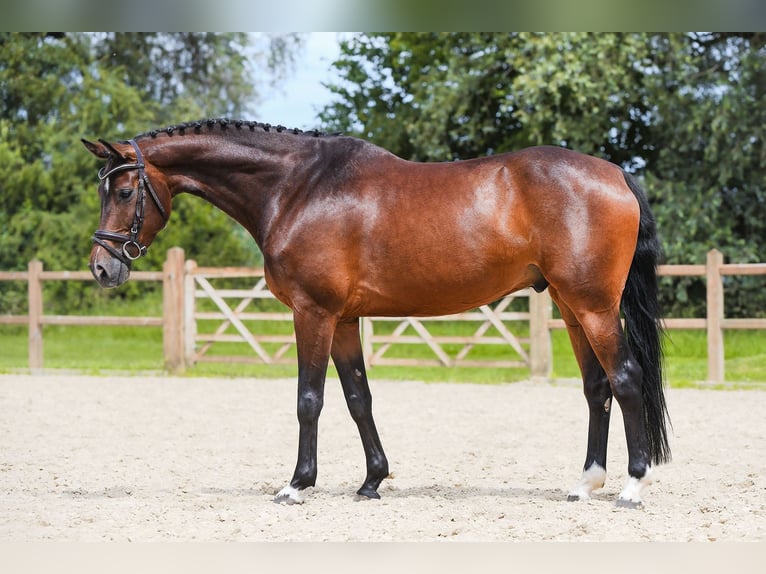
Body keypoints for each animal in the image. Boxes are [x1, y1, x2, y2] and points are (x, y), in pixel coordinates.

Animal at [82, 118, 671, 508]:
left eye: (125, 190)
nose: (102, 268)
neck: (296, 188)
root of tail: (617, 175)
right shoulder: (344, 319)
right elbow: (358, 398)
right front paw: (371, 481)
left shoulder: (313, 313)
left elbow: (310, 400)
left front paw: (297, 483)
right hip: (572, 309)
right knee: (596, 388)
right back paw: (585, 483)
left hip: (594, 307)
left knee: (625, 378)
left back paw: (632, 485)